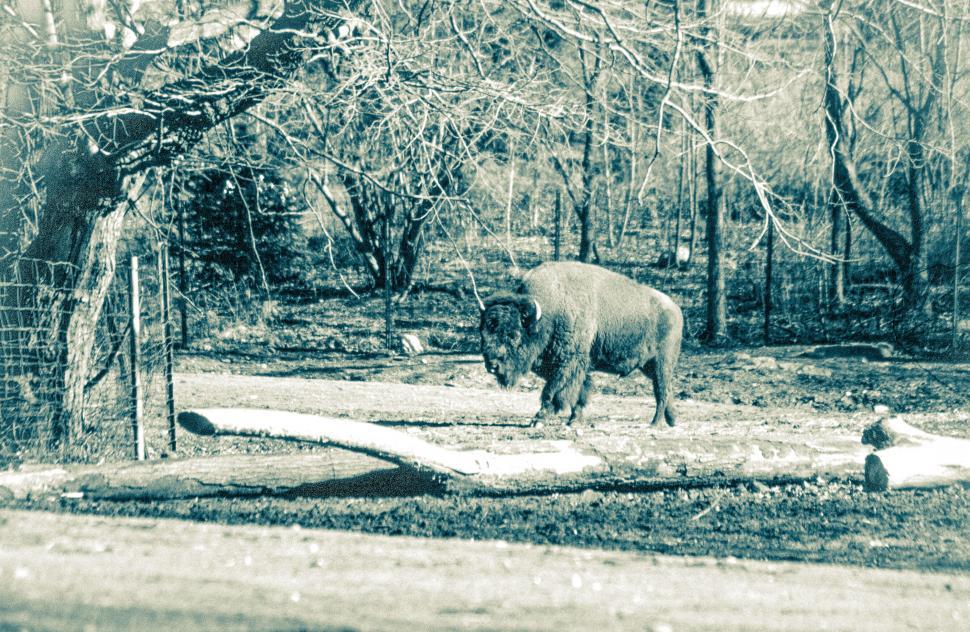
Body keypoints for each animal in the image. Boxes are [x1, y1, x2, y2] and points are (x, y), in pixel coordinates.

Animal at [480, 261, 683, 427]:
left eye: (514, 335)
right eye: (484, 333)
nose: (492, 365)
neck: (549, 312)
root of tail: (675, 309)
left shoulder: (568, 363)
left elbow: (553, 391)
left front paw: (539, 419)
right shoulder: (569, 365)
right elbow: (580, 391)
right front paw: (574, 420)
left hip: (662, 363)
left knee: (662, 391)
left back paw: (655, 424)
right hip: (648, 366)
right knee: (667, 389)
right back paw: (672, 420)